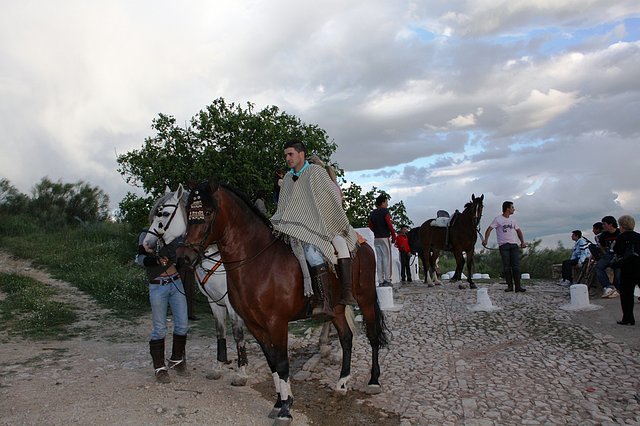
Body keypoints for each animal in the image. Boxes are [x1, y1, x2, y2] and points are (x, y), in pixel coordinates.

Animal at [176, 178, 390, 424]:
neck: (258, 261)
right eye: (188, 213)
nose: (183, 257)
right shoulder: (254, 324)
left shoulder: (276, 323)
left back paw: (373, 381)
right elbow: (272, 362)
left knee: (372, 336)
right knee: (346, 338)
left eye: (208, 212)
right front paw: (279, 402)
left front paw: (286, 409)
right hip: (336, 308)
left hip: (366, 300)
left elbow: (282, 363)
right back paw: (342, 383)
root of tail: (362, 244)